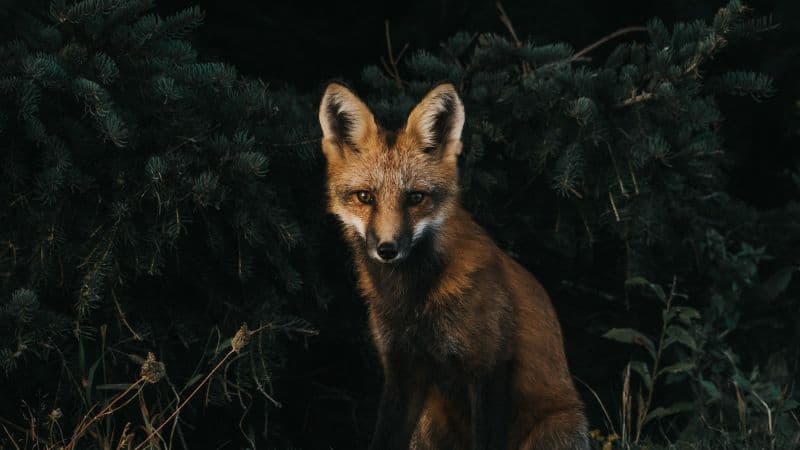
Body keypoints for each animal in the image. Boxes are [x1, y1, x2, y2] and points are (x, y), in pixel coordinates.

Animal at [318, 81, 589, 450]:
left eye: (415, 198)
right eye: (365, 197)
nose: (388, 249)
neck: (413, 301)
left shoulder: (488, 366)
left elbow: (487, 438)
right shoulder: (402, 369)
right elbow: (384, 436)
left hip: (557, 428)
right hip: (429, 422)